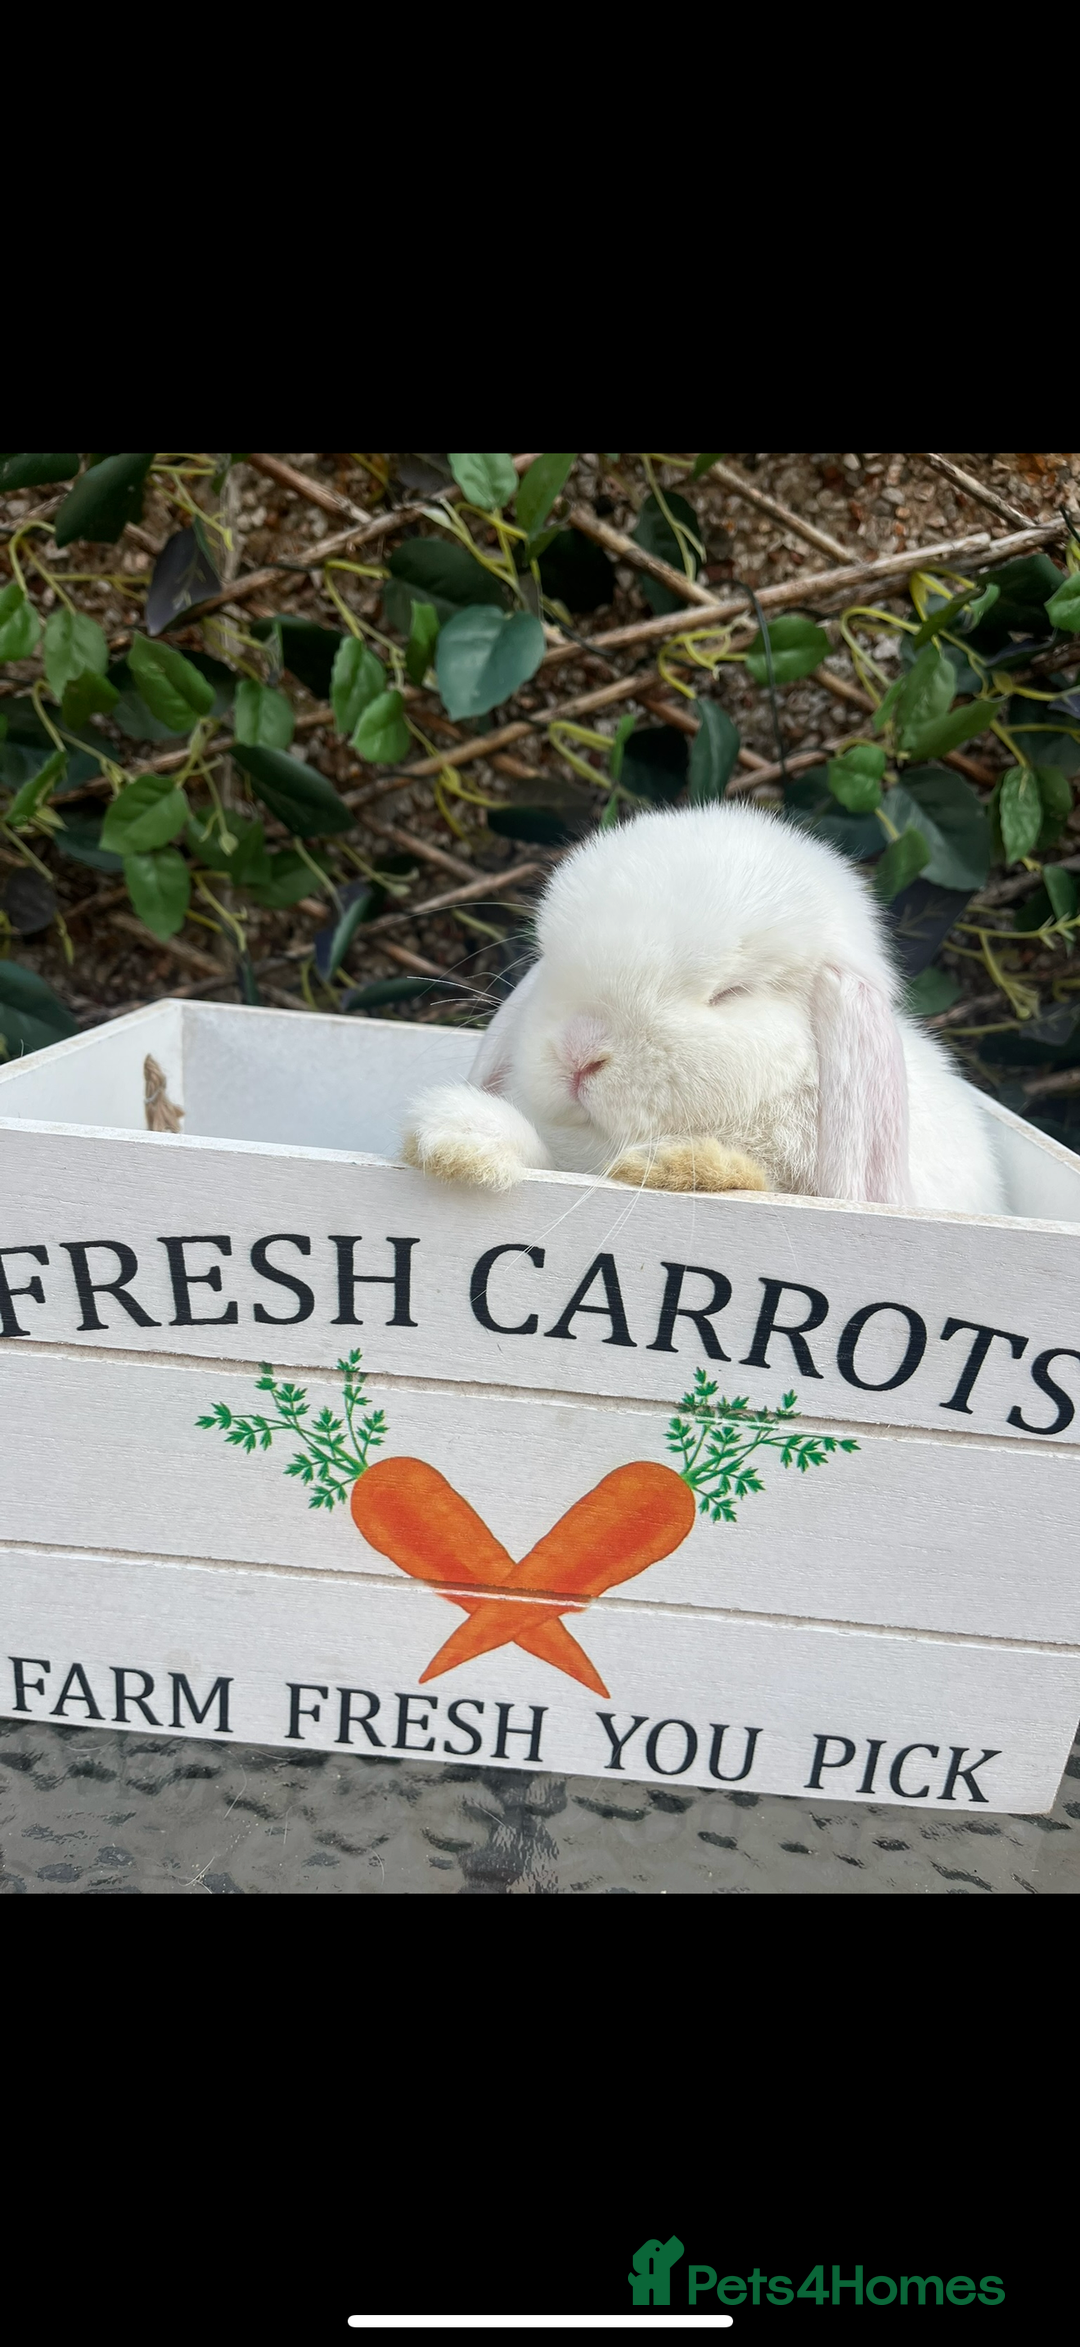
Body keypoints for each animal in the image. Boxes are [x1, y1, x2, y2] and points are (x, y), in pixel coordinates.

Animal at [401, 801, 1006, 1216]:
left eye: (730, 993)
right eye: (549, 960)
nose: (578, 1054)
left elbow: (754, 1185)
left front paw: (674, 1166)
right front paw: (459, 1136)